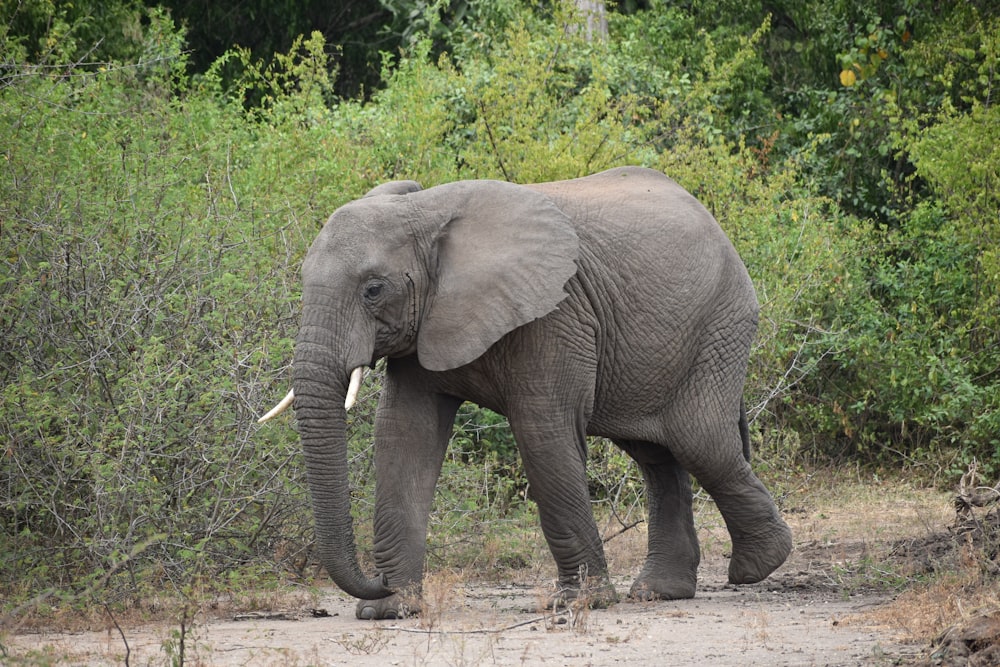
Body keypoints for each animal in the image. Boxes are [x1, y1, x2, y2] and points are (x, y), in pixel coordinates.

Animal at [262, 166, 792, 620]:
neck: (426, 212)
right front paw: (389, 611)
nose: (378, 581)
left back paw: (758, 567)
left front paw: (580, 604)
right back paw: (660, 592)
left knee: (700, 442)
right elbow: (403, 437)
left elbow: (543, 434)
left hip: (719, 324)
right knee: (656, 453)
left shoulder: (555, 312)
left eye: (373, 289)